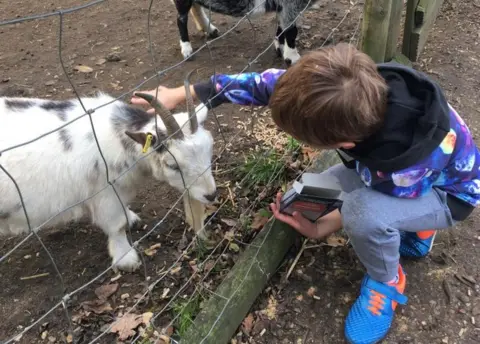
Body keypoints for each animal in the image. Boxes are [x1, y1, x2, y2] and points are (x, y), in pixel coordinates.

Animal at [0, 86, 218, 272]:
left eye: (209, 149)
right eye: (173, 165)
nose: (211, 195)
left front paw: (131, 218)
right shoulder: (106, 195)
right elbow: (117, 226)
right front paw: (127, 259)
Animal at [172, 0, 318, 65]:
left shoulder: (285, 7)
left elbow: (282, 27)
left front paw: (280, 48)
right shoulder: (291, 5)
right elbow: (291, 31)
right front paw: (293, 58)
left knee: (195, 6)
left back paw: (210, 30)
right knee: (181, 18)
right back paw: (187, 50)